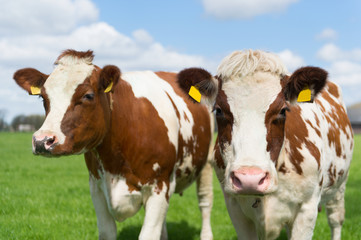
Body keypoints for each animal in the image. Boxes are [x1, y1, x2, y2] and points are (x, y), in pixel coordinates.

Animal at [14, 49, 214, 240]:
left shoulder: (160, 184)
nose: (42, 141)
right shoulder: (96, 187)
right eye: (43, 97)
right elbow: (107, 232)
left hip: (207, 162)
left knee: (204, 203)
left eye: (88, 95)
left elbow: (148, 235)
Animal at [177, 49, 352, 239]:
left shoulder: (308, 208)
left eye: (283, 110)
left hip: (339, 187)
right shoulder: (235, 207)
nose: (250, 179)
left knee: (336, 219)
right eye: (219, 110)